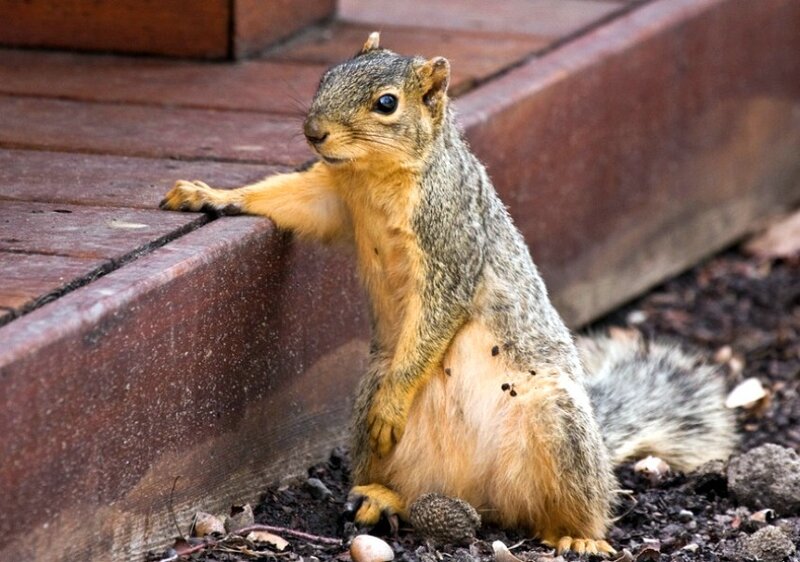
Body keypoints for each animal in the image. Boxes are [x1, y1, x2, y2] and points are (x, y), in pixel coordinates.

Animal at [160, 32, 736, 555]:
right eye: (326, 75)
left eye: (386, 103)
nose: (314, 132)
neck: (377, 177)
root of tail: (482, 490)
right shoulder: (333, 196)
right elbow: (288, 199)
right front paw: (210, 194)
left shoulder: (450, 242)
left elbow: (441, 310)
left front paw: (396, 399)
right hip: (372, 405)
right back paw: (381, 496)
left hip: (559, 425)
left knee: (578, 506)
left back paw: (579, 536)